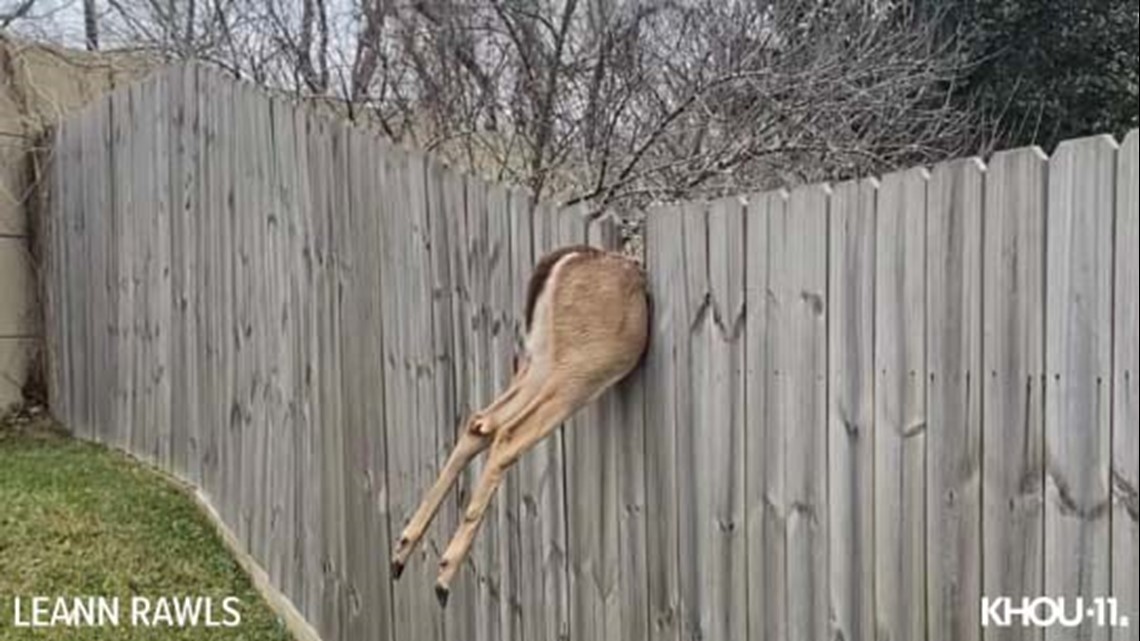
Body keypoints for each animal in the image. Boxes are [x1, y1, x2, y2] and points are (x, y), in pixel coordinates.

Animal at [389, 241, 652, 602]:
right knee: (510, 433)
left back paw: (401, 554)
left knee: (481, 422)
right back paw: (442, 576)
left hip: (541, 360)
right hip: (581, 368)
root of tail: (566, 260)